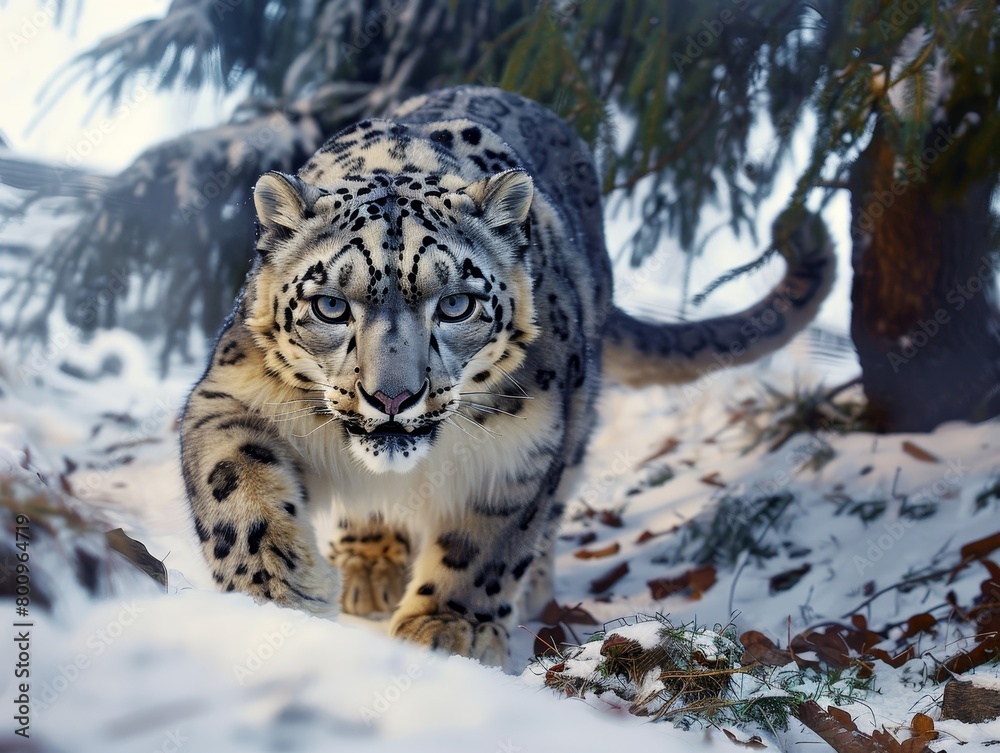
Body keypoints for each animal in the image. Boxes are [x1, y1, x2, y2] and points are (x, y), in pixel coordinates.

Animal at [180, 86, 835, 669]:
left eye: (455, 304)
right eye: (331, 306)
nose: (392, 396)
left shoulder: (525, 449)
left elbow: (487, 546)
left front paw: (449, 628)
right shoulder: (233, 393)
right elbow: (234, 483)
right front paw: (278, 591)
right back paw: (369, 566)